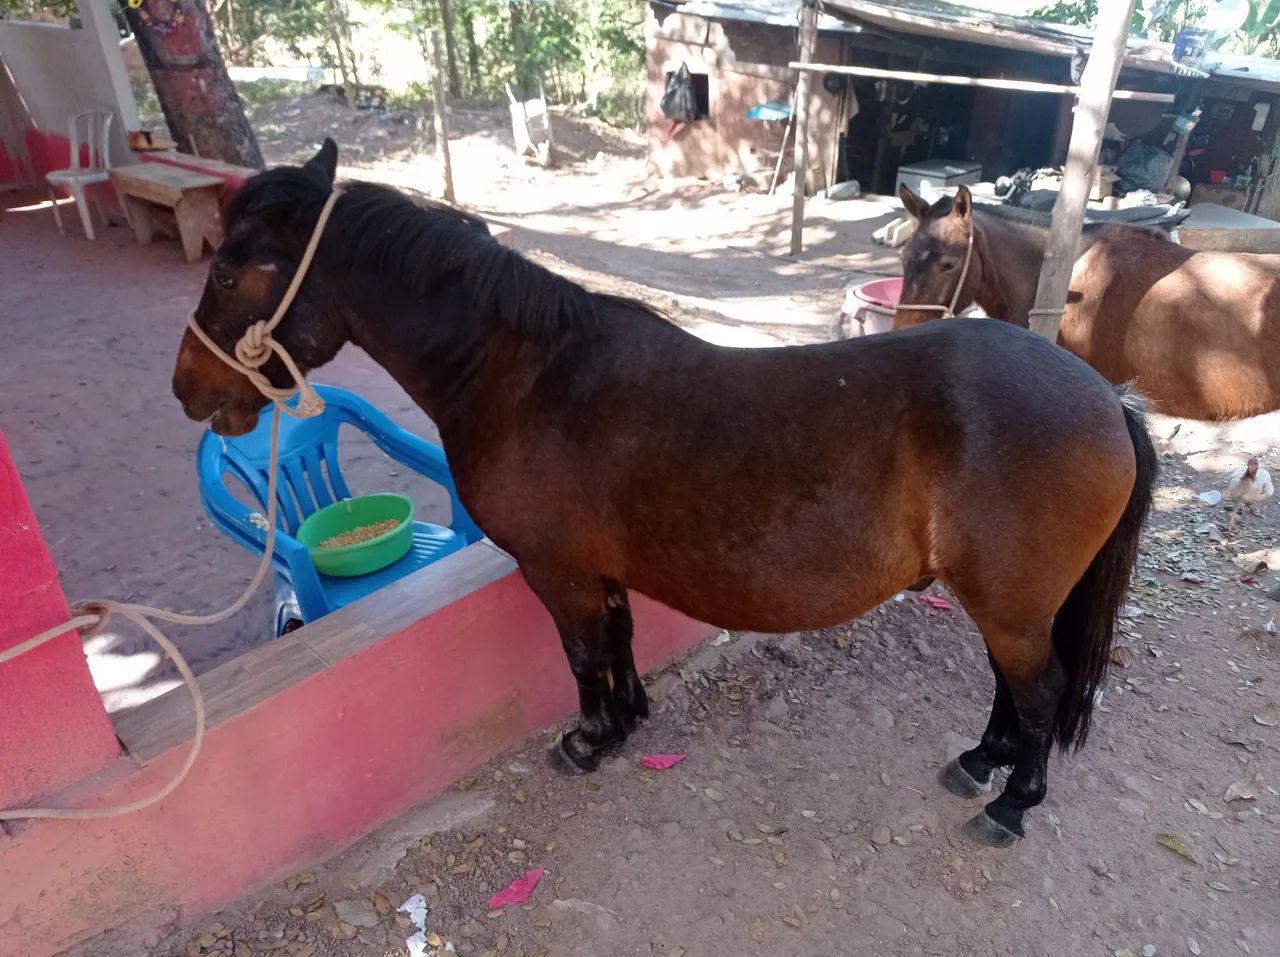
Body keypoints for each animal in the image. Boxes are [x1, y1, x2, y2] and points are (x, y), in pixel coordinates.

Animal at [172, 141, 1157, 846]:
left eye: (226, 271)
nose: (187, 388)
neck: (530, 376)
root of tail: (1103, 396)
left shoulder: (557, 571)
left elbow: (581, 655)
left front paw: (589, 739)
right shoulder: (599, 569)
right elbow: (619, 638)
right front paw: (630, 719)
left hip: (1012, 601)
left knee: (1037, 689)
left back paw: (1011, 802)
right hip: (1009, 600)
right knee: (1011, 686)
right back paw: (980, 761)